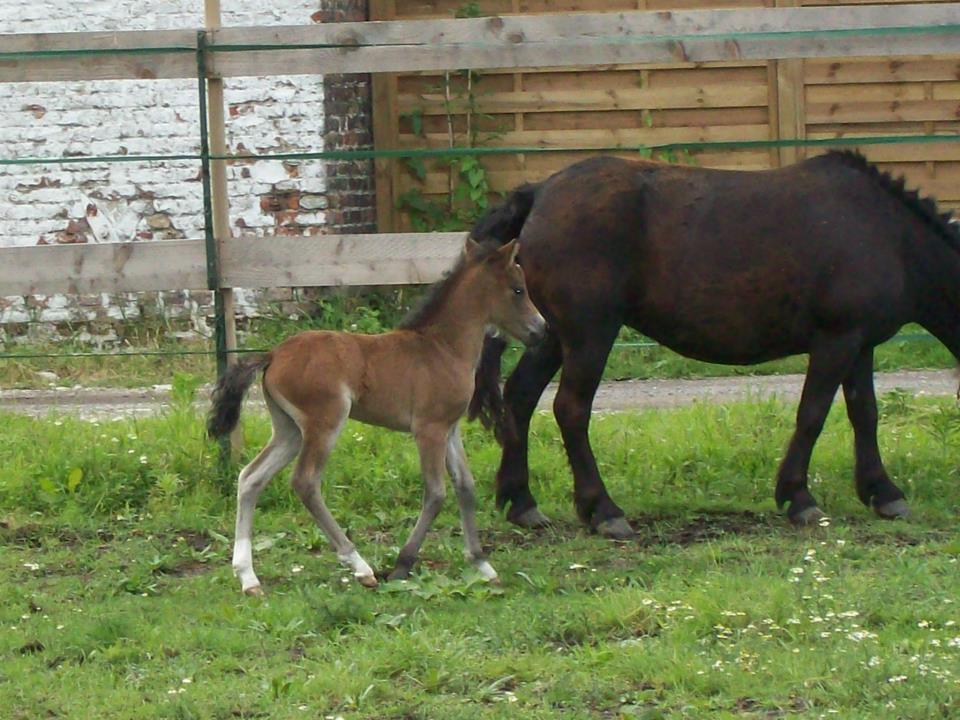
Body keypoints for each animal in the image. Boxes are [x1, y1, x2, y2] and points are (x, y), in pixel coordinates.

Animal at [207, 239, 544, 592]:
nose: (541, 330)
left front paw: (481, 563)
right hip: (325, 422)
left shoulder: (449, 429)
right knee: (305, 481)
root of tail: (273, 354)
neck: (443, 347)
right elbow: (437, 492)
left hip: (289, 430)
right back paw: (360, 566)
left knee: (251, 477)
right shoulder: (429, 429)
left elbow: (465, 487)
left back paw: (248, 577)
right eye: (518, 290)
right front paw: (402, 564)